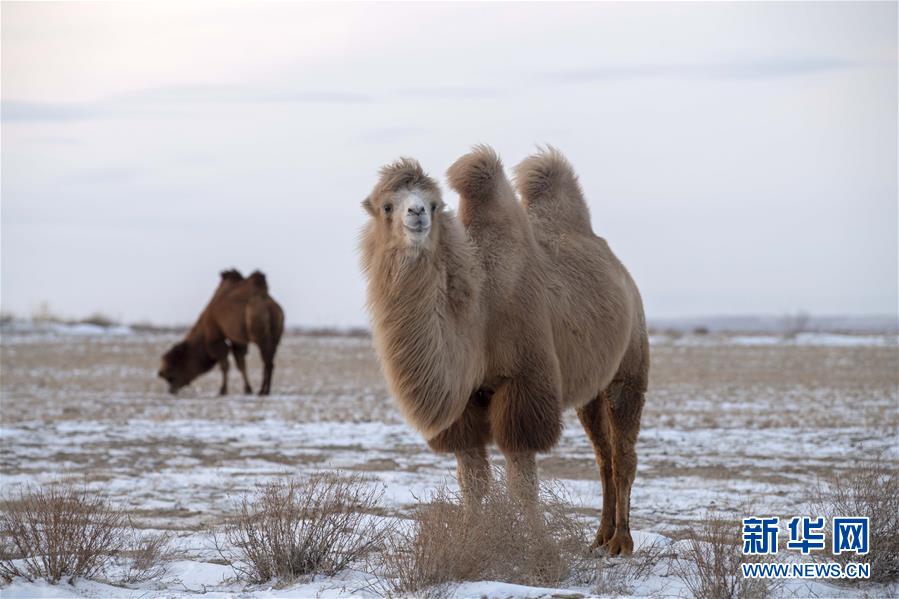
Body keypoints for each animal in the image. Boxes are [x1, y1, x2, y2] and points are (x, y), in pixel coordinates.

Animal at [362, 146, 652, 556]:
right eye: (387, 205)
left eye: (434, 203)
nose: (416, 213)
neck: (479, 311)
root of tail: (624, 275)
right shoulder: (464, 402)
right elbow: (472, 481)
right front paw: (469, 540)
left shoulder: (524, 384)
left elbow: (522, 482)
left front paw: (540, 546)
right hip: (590, 392)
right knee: (602, 455)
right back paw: (599, 537)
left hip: (629, 365)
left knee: (623, 454)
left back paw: (621, 542)